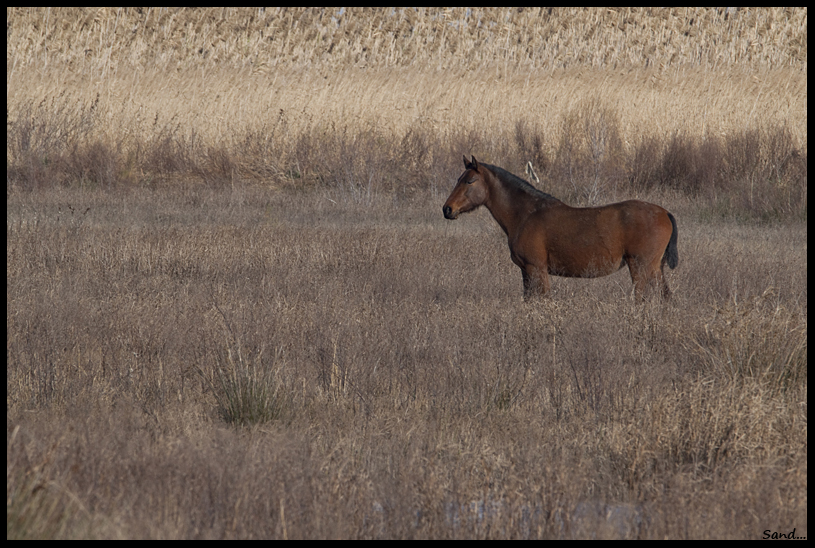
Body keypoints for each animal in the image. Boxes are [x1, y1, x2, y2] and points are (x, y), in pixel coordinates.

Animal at [444, 154, 680, 300]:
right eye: (458, 179)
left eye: (470, 181)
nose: (447, 209)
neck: (526, 214)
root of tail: (664, 213)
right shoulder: (526, 272)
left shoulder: (537, 269)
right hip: (655, 269)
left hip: (641, 268)